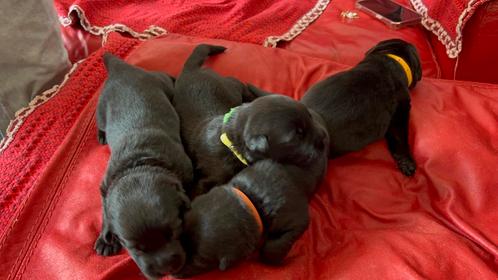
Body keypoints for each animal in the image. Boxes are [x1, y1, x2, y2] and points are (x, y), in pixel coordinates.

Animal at [95, 52, 195, 278]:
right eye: (134, 247)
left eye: (174, 231)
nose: (165, 268)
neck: (140, 161)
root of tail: (122, 68)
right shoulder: (105, 185)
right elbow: (105, 210)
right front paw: (105, 239)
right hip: (101, 110)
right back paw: (102, 136)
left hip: (159, 82)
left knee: (167, 79)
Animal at [173, 126, 328, 278]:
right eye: (179, 236)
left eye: (200, 261)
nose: (173, 273)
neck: (252, 199)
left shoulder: (296, 218)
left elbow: (277, 245)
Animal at [174, 44, 326, 197]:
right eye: (297, 135)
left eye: (310, 116)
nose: (324, 137)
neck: (231, 142)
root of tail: (190, 70)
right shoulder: (209, 177)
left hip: (229, 86)